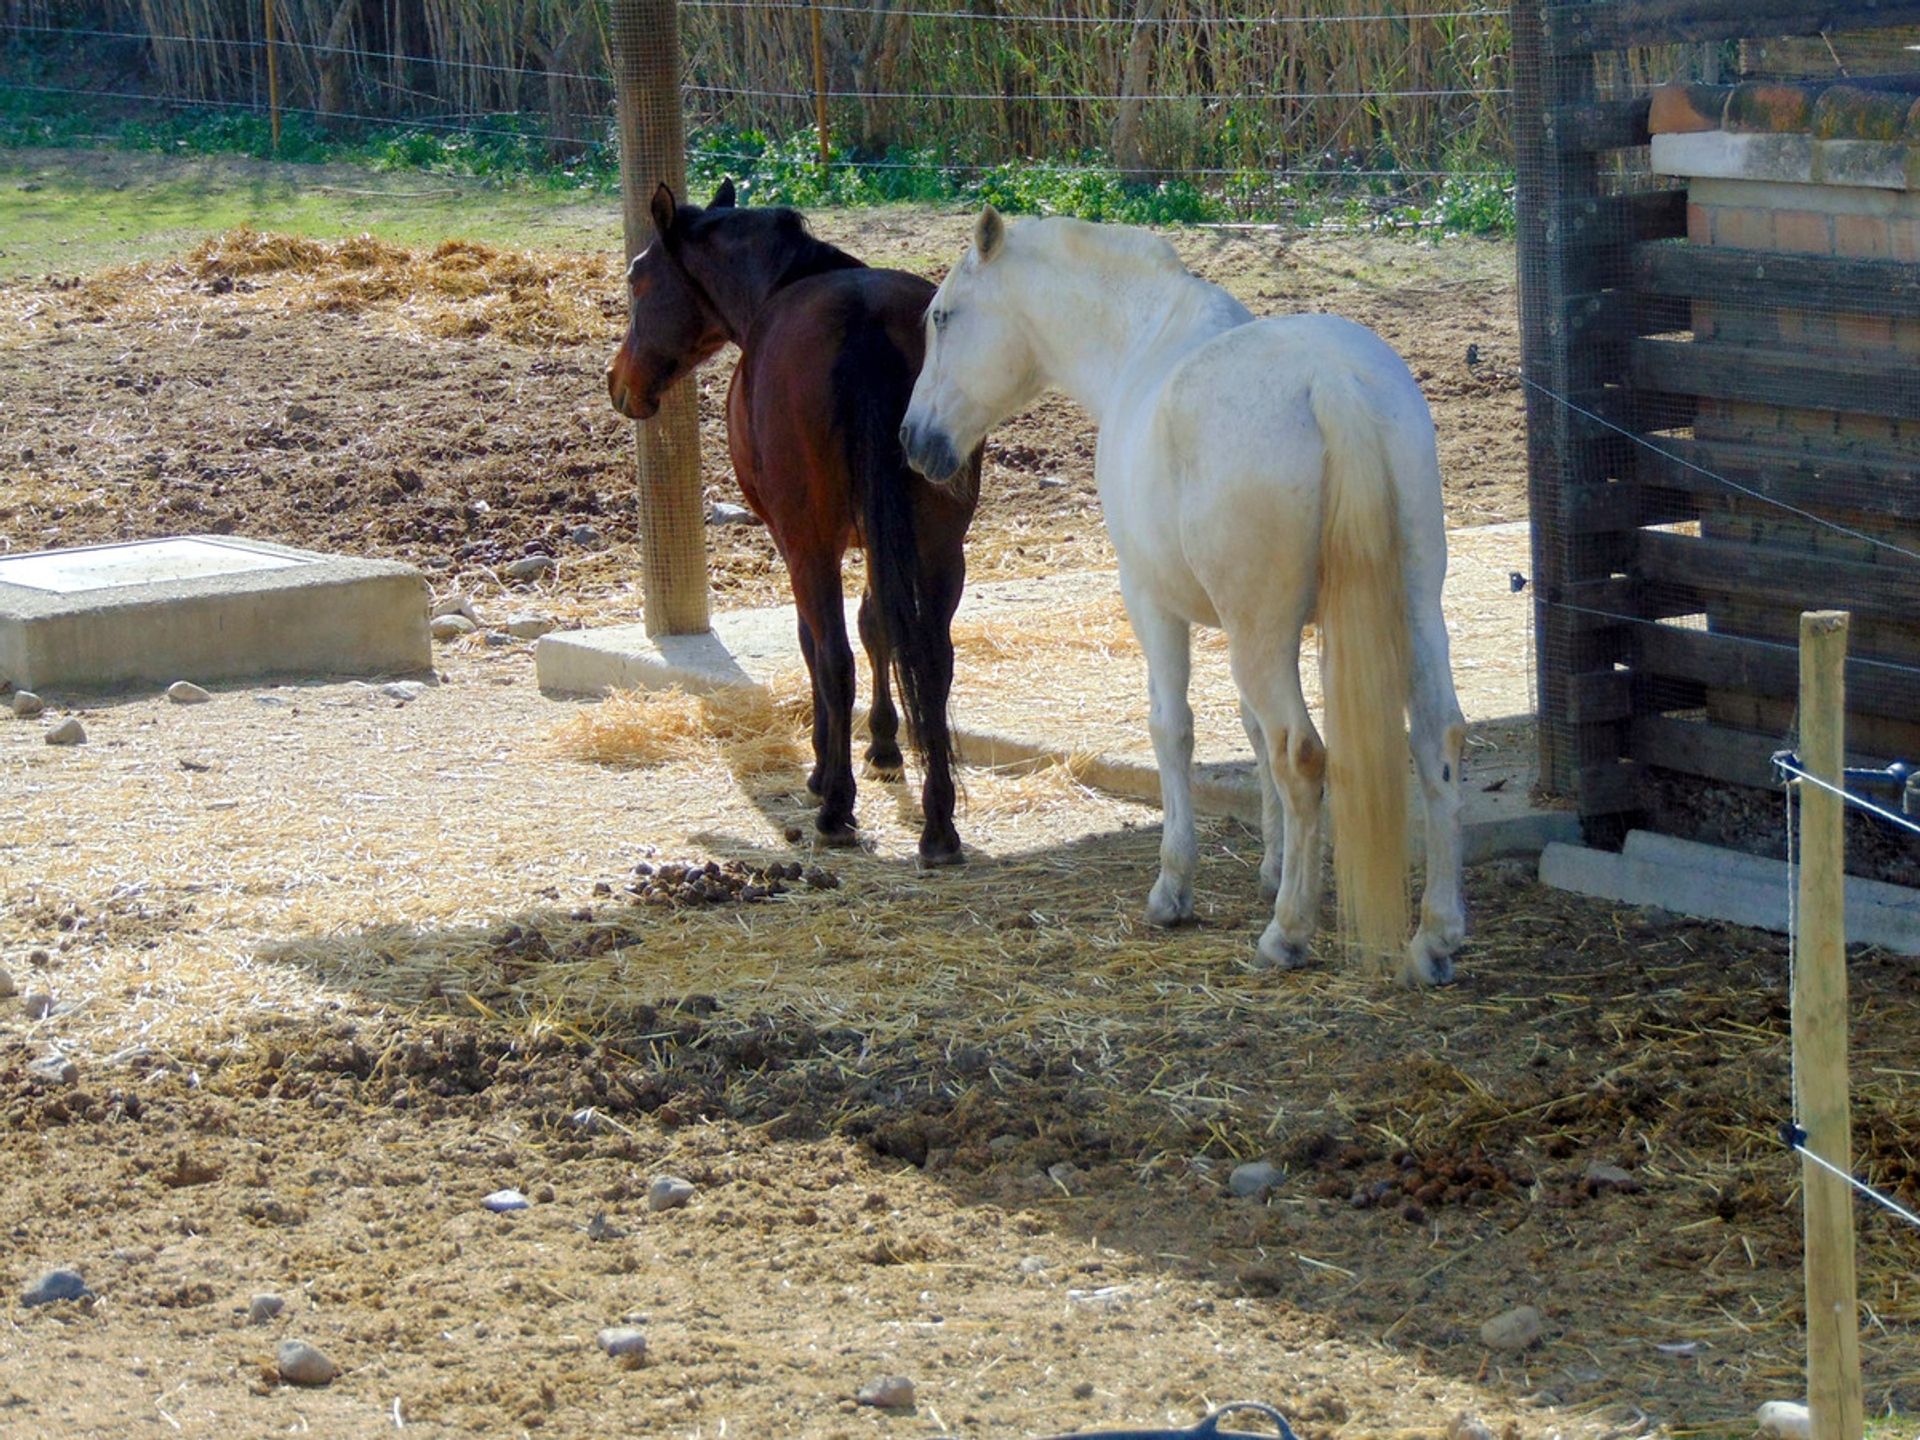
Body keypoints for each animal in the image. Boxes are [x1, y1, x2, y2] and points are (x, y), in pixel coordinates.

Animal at [606, 184, 983, 867]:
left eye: (638, 278)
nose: (620, 382)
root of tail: (864, 320)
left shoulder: (798, 542)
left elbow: (818, 645)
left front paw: (824, 769)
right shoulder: (882, 542)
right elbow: (882, 627)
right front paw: (884, 745)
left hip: (813, 545)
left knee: (833, 659)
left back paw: (836, 809)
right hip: (943, 546)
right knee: (935, 660)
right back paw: (939, 827)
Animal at [898, 208, 1466, 990]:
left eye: (944, 317)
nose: (913, 441)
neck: (1143, 339)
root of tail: (1331, 382)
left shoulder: (1154, 604)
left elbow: (1175, 730)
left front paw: (1175, 889)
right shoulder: (1252, 628)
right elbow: (1251, 731)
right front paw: (1274, 866)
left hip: (1263, 633)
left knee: (1303, 755)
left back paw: (1287, 936)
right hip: (1408, 611)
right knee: (1436, 738)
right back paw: (1435, 938)